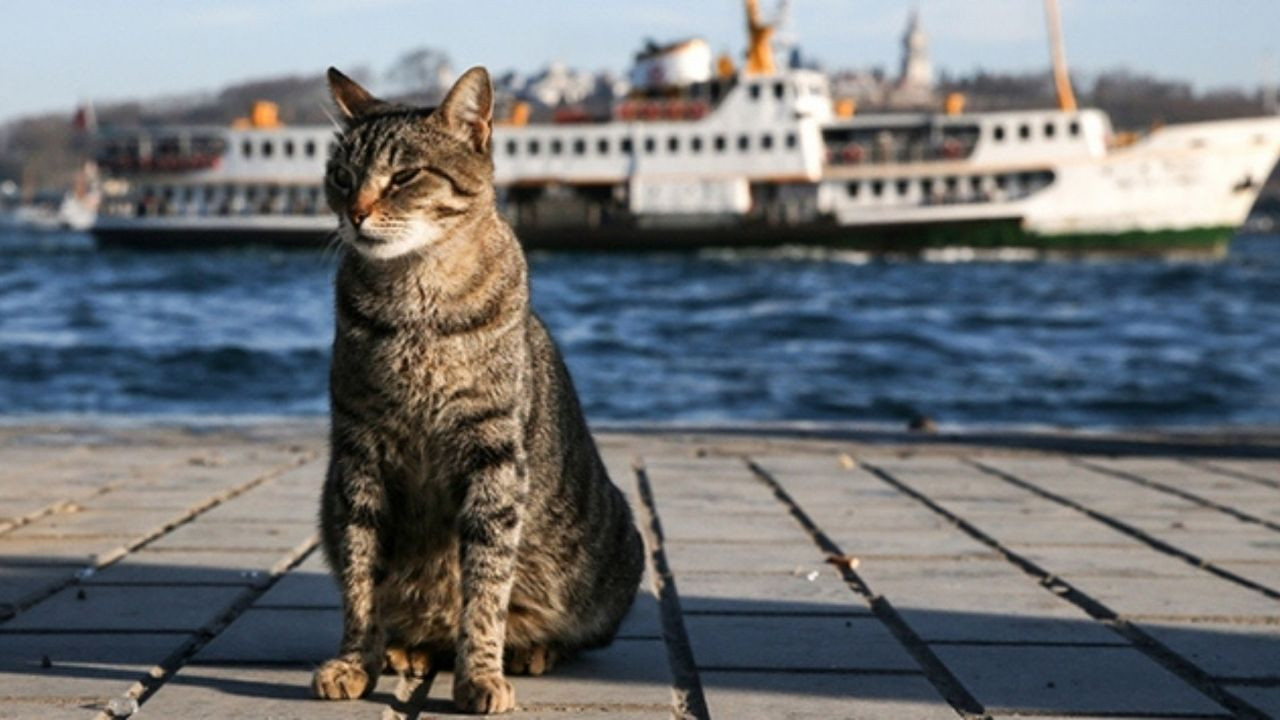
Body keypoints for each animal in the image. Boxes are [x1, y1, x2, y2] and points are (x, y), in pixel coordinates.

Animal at [314, 67, 645, 712]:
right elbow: (362, 575)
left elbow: (487, 583)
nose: (356, 212)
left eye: (404, 176)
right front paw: (355, 661)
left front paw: (482, 674)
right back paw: (408, 649)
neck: (415, 298)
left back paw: (530, 649)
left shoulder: (493, 454)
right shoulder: (359, 454)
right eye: (341, 177)